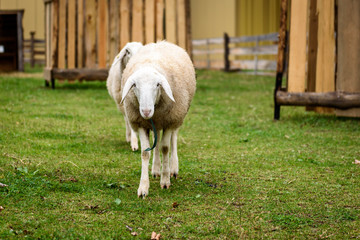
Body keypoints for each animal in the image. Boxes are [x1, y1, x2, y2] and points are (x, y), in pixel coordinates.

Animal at [120, 40, 194, 197]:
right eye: (135, 85)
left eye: (157, 84)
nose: (146, 111)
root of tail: (162, 42)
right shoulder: (141, 124)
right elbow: (145, 152)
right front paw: (143, 187)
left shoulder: (169, 121)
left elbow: (165, 148)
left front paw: (165, 181)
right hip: (157, 123)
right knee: (157, 140)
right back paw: (155, 169)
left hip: (177, 117)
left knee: (173, 140)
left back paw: (173, 168)